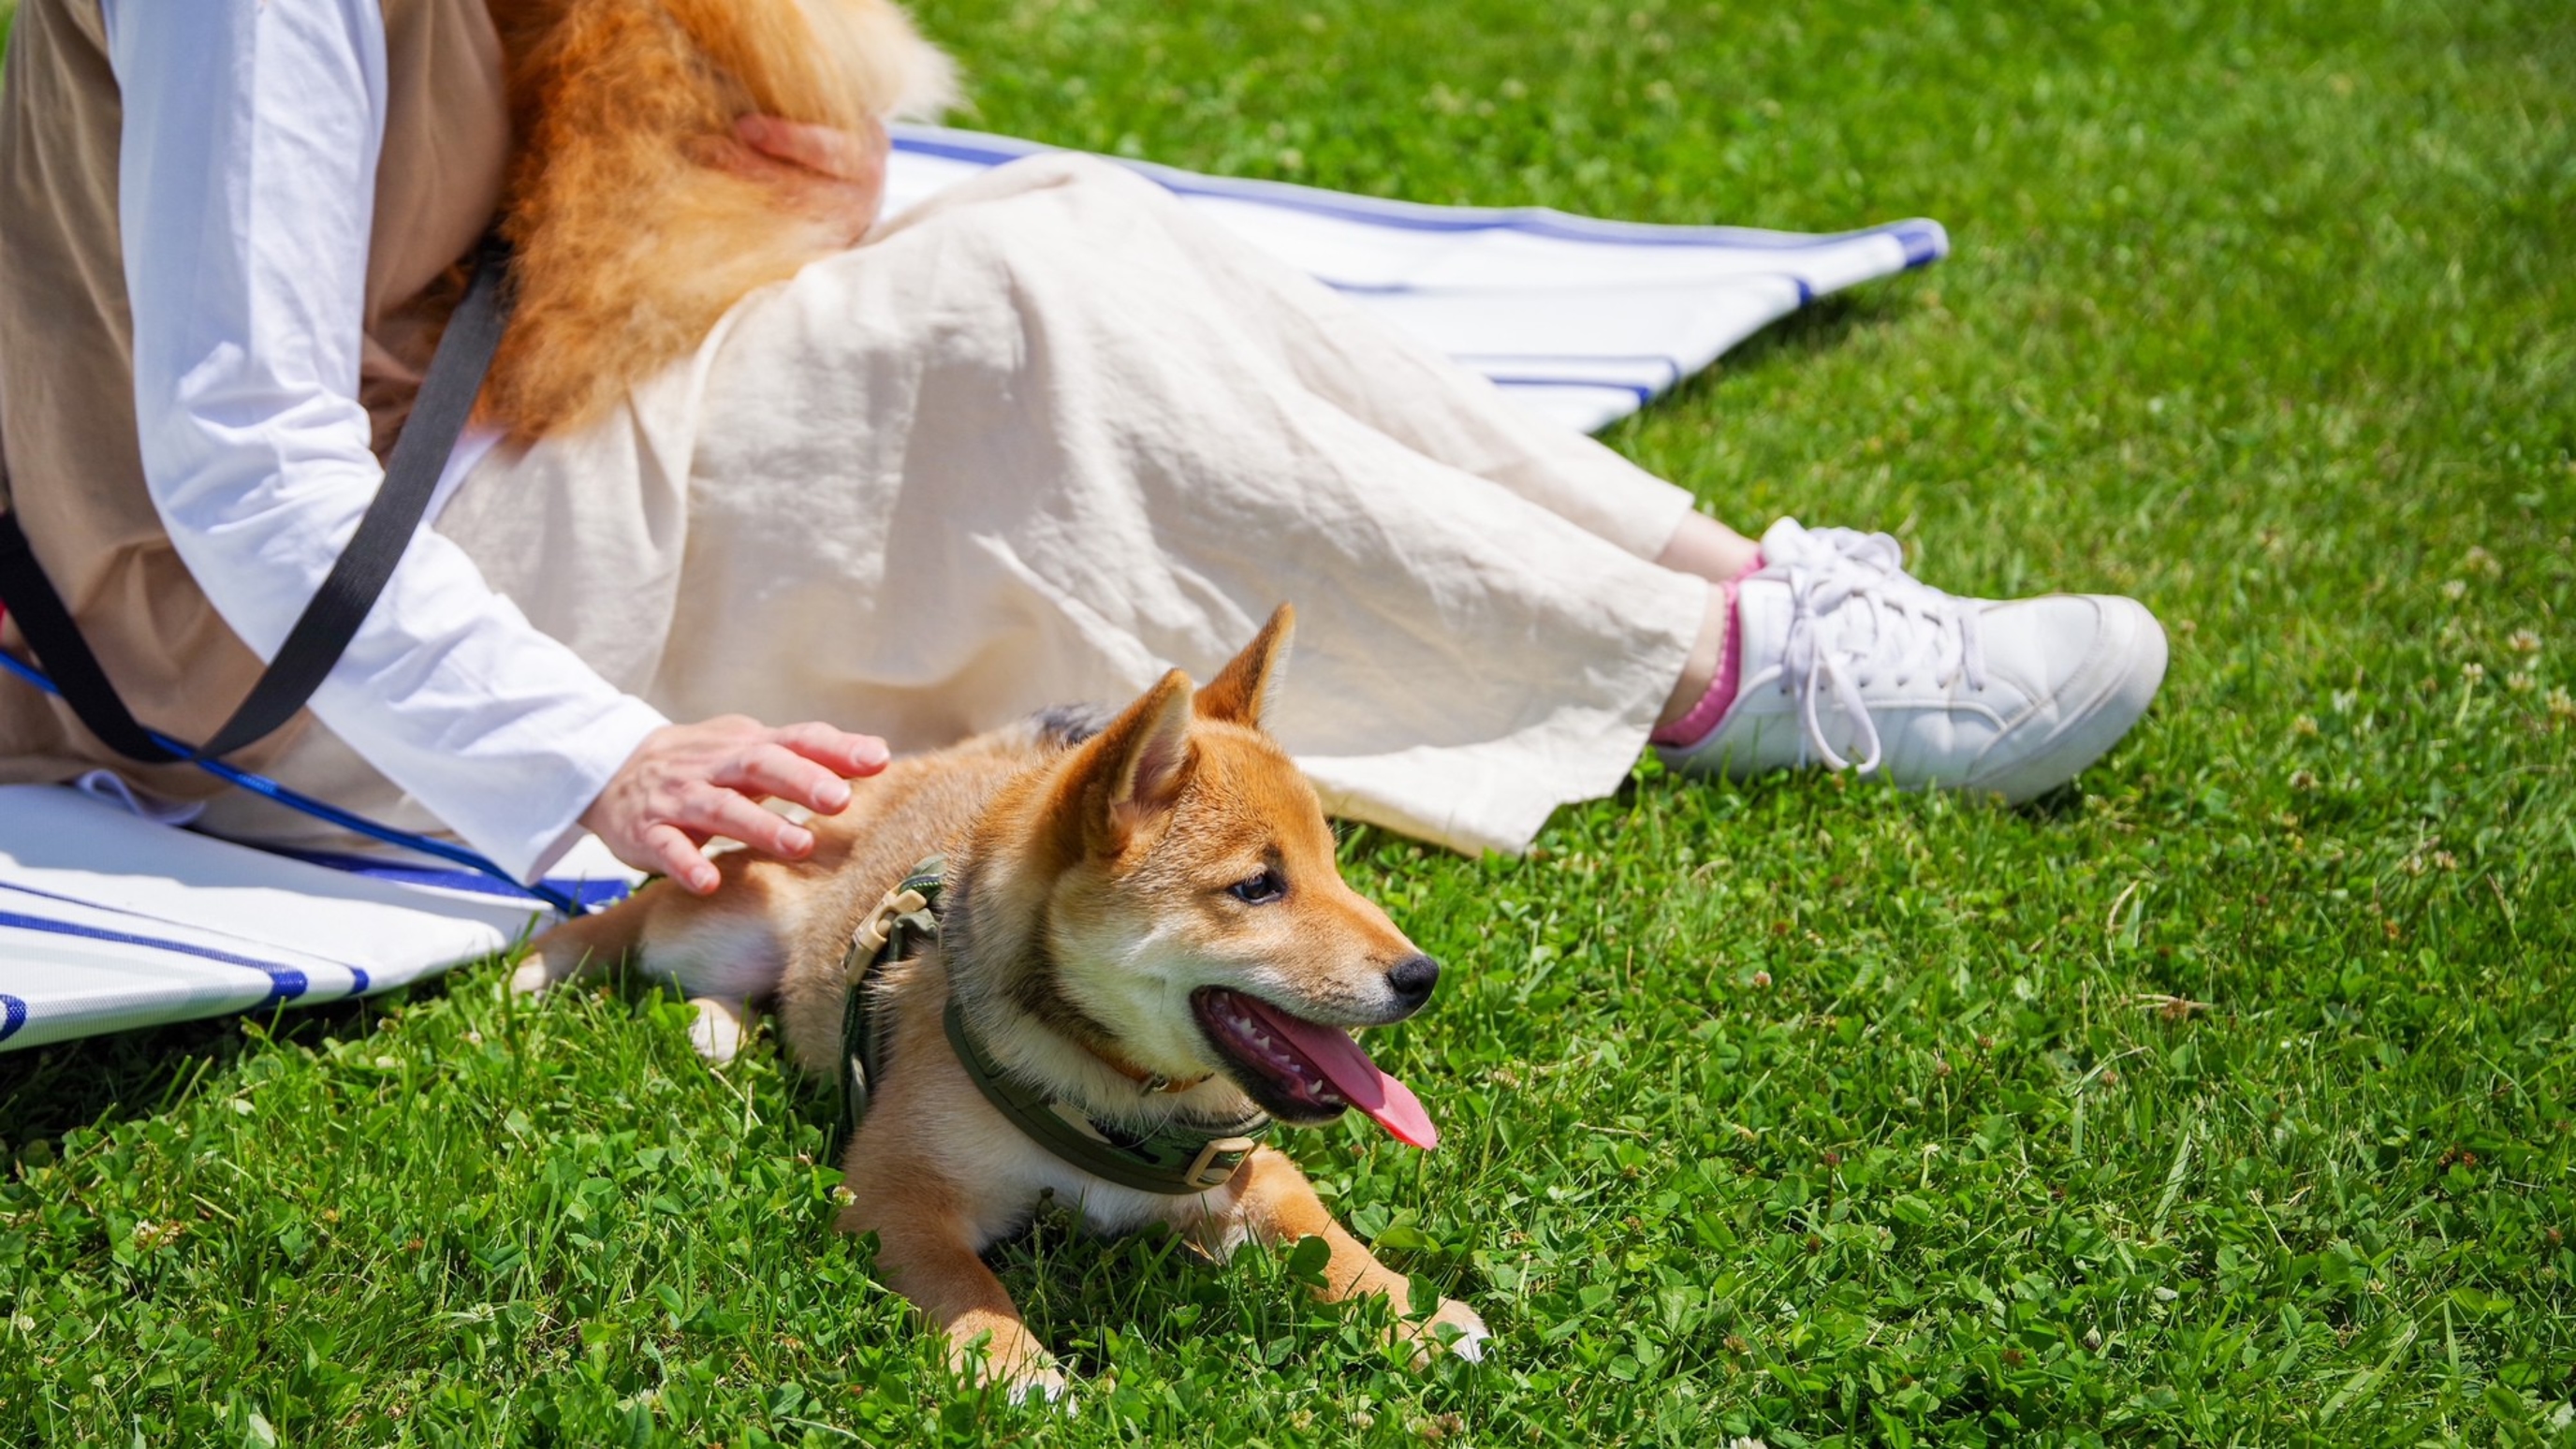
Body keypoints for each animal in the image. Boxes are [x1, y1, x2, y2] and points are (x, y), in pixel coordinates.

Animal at [518, 606, 1494, 1392]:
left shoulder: (1239, 1172)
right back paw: (551, 965)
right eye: (1257, 887)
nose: (1422, 977)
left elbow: (1320, 1232)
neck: (1106, 1090)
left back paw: (719, 1029)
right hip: (728, 920)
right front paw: (1013, 1366)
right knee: (653, 914)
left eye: (1335, 867)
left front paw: (1413, 1311)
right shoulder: (893, 1189)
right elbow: (965, 1284)